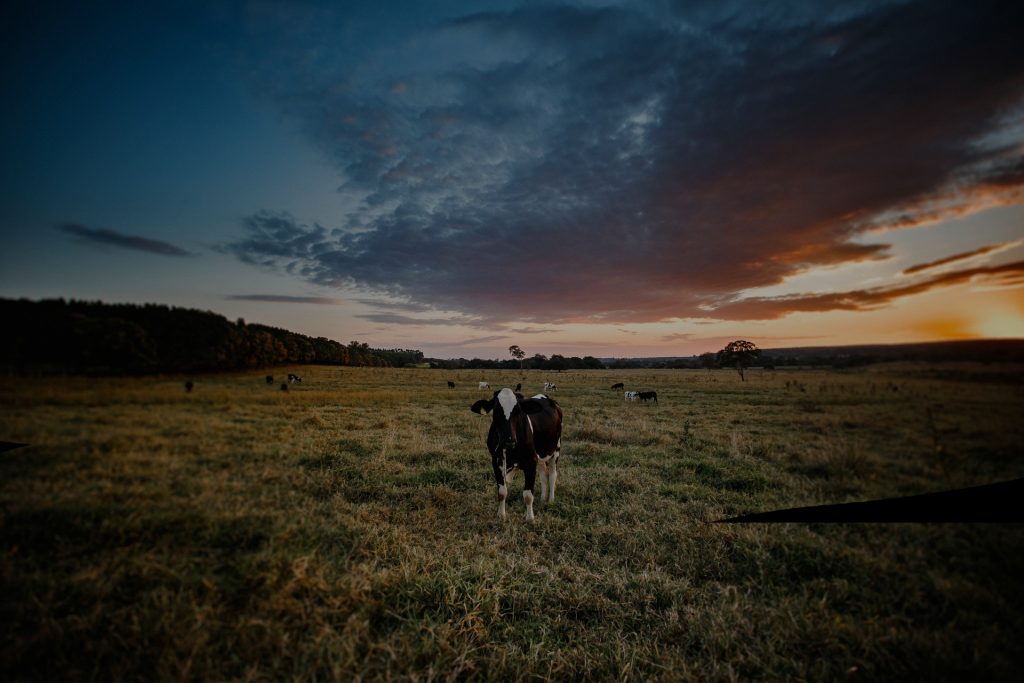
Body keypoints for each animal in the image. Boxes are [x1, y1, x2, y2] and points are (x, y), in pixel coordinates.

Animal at [468, 387, 565, 520]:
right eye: (496, 411)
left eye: (518, 411)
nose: (509, 441)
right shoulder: (496, 461)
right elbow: (502, 492)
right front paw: (501, 515)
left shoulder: (530, 462)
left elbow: (528, 495)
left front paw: (530, 518)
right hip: (540, 455)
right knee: (543, 475)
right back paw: (542, 499)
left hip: (555, 450)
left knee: (552, 475)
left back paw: (550, 500)